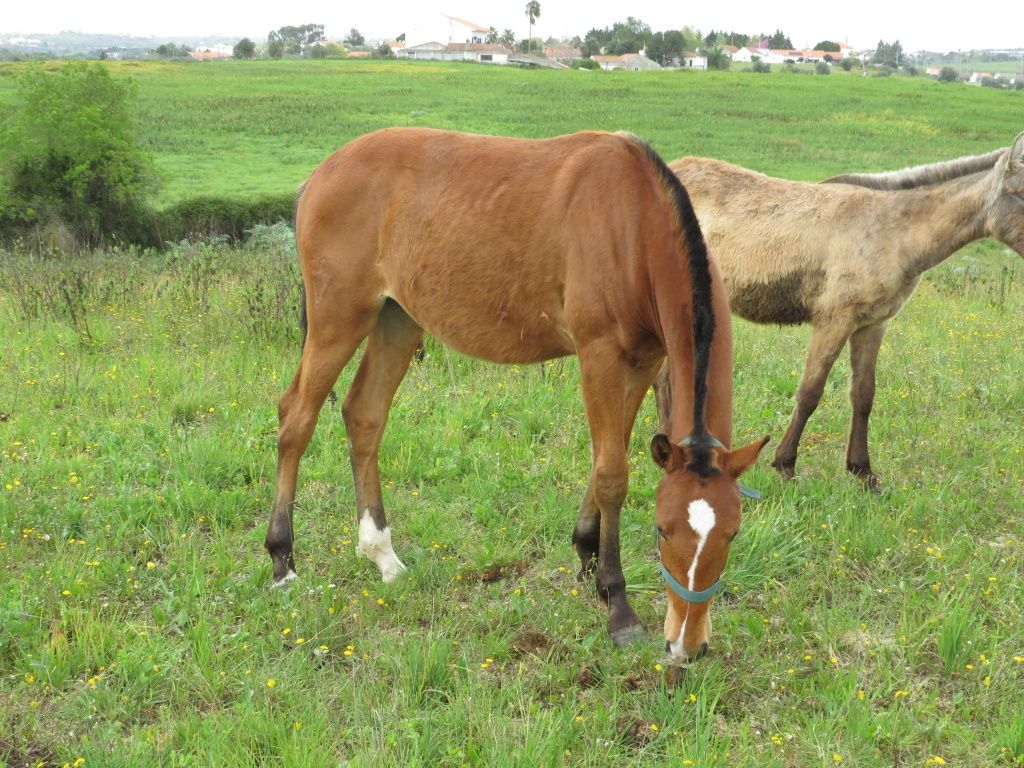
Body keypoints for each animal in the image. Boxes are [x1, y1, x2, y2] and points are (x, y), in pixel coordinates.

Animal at [264, 128, 770, 663]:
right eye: (662, 530)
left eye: (732, 533)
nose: (686, 646)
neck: (633, 223)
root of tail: (321, 174)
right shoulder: (600, 355)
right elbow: (612, 474)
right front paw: (618, 604)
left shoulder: (643, 361)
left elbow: (605, 458)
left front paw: (587, 556)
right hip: (339, 318)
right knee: (296, 418)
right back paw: (283, 562)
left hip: (395, 318)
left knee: (364, 414)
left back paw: (383, 556)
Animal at [655, 133, 1024, 489]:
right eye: (1020, 193)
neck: (891, 231)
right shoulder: (834, 321)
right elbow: (809, 392)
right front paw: (786, 465)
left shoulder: (872, 325)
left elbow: (863, 395)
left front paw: (863, 473)